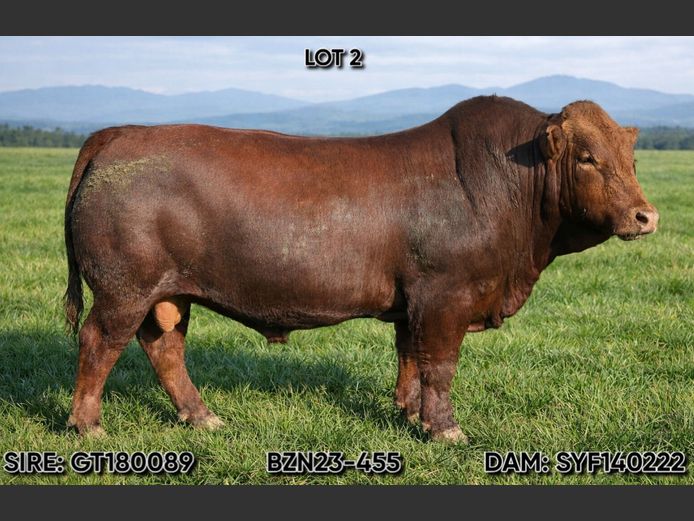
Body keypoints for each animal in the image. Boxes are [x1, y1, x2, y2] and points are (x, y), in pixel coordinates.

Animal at [63, 95, 658, 442]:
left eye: (630, 158)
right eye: (587, 157)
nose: (645, 215)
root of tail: (121, 133)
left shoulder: (414, 301)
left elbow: (411, 360)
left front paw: (410, 415)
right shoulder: (446, 296)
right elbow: (440, 365)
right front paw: (445, 430)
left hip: (166, 293)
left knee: (164, 347)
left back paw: (202, 416)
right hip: (124, 289)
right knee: (99, 343)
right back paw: (87, 426)